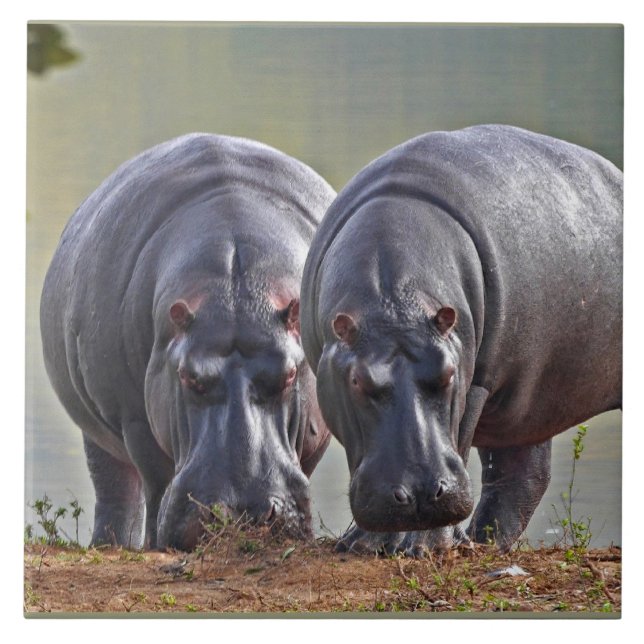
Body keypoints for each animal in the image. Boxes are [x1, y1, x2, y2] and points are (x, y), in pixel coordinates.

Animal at [40, 133, 336, 550]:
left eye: (291, 374)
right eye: (187, 376)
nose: (240, 513)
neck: (237, 290)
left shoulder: (317, 425)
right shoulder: (135, 419)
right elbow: (157, 479)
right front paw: (155, 544)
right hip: (98, 432)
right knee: (117, 490)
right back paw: (112, 545)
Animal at [300, 124, 622, 554]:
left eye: (449, 373)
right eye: (356, 380)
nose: (420, 495)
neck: (394, 302)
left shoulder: (478, 383)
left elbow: (462, 438)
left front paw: (426, 547)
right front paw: (361, 545)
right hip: (524, 400)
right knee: (522, 474)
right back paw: (482, 543)